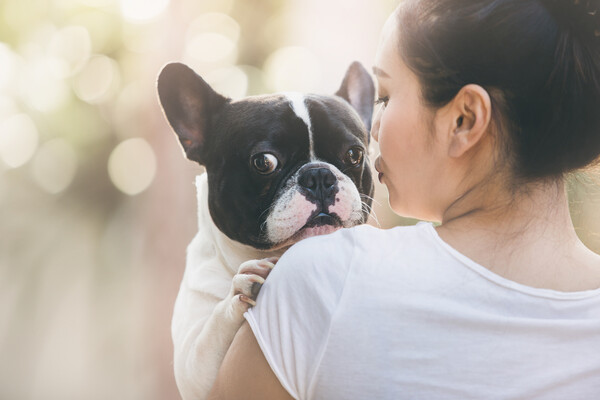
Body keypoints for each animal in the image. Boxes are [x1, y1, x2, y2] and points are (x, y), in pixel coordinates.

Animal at [157, 60, 372, 400]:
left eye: (354, 154)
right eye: (264, 162)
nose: (319, 176)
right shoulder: (195, 372)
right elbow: (209, 336)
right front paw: (241, 287)